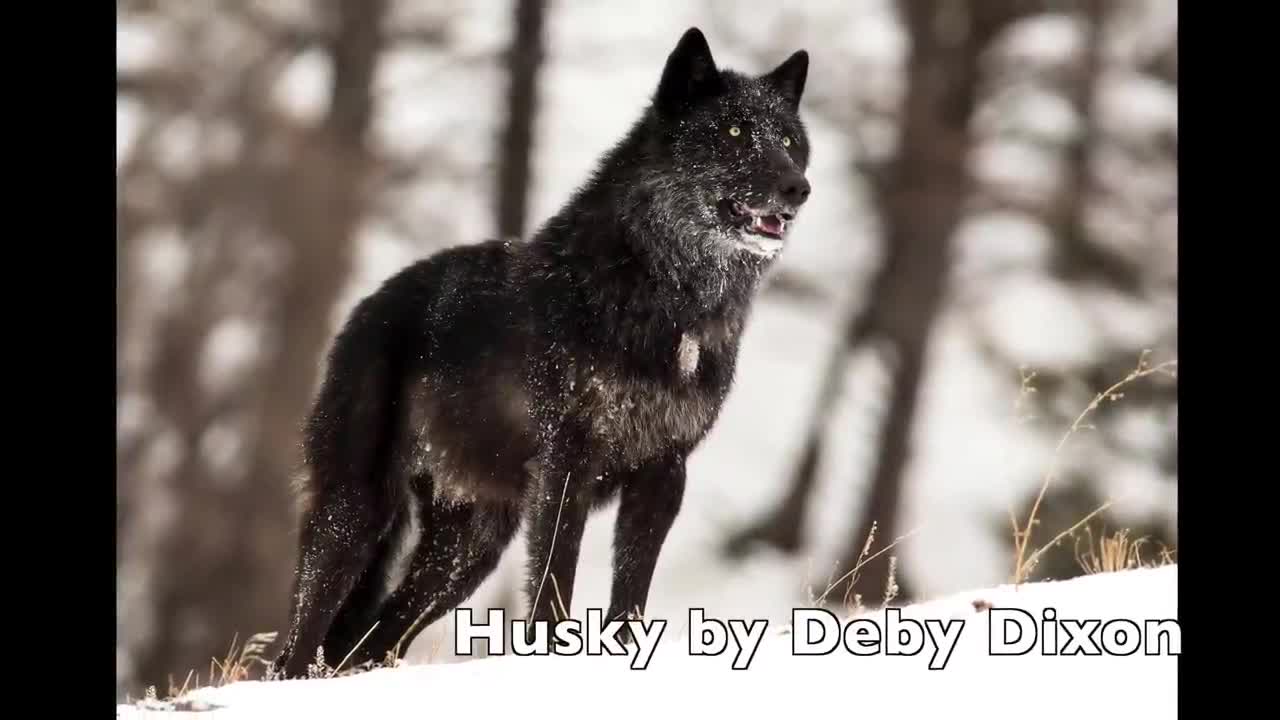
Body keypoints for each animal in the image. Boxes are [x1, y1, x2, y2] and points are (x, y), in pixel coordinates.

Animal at [272, 28, 808, 676]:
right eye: (731, 132)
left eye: (790, 141)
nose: (799, 187)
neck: (669, 299)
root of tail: (368, 303)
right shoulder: (567, 466)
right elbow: (554, 583)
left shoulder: (664, 472)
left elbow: (631, 589)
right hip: (355, 515)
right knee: (301, 640)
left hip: (468, 552)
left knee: (373, 638)